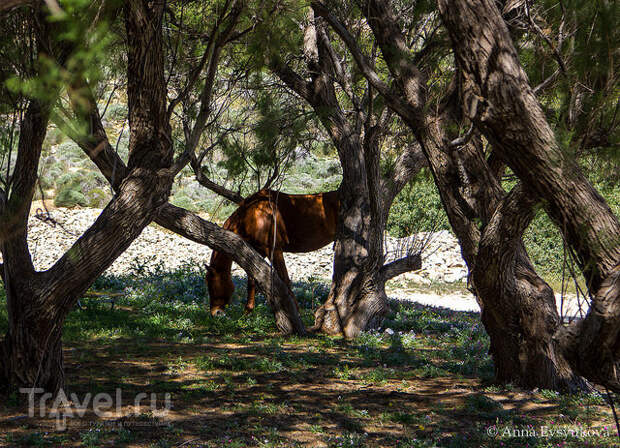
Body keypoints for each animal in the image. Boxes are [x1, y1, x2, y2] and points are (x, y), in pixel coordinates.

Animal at [206, 187, 336, 316]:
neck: (251, 215)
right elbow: (252, 281)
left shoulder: (275, 250)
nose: (215, 313)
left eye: (212, 285)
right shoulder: (258, 252)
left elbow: (285, 280)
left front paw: (297, 313)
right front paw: (247, 312)